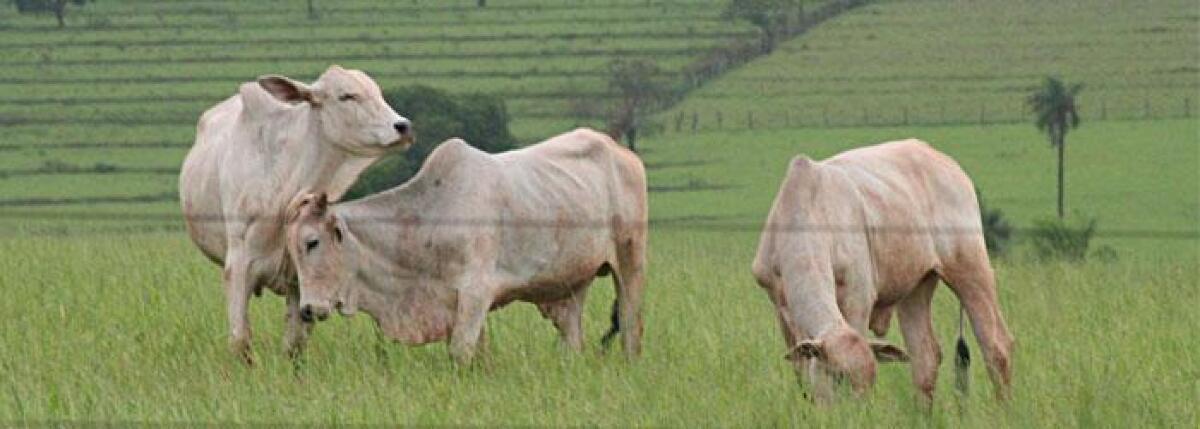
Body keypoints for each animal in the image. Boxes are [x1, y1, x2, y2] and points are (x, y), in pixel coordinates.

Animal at [177, 65, 412, 364]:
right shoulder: (238, 267)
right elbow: (240, 341)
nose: (403, 126)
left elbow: (295, 345)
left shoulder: (304, 280)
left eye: (378, 93)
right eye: (346, 96)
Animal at [282, 128, 648, 364]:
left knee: (630, 327)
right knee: (573, 337)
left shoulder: (475, 293)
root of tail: (621, 151)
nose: (307, 309)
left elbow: (460, 353)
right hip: (572, 282)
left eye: (312, 242)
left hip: (630, 260)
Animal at [748, 139, 1012, 405]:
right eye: (838, 377)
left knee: (996, 346)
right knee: (925, 357)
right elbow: (802, 372)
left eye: (871, 380)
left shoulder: (858, 298)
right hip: (916, 287)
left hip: (970, 267)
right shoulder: (780, 307)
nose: (860, 410)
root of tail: (943, 161)